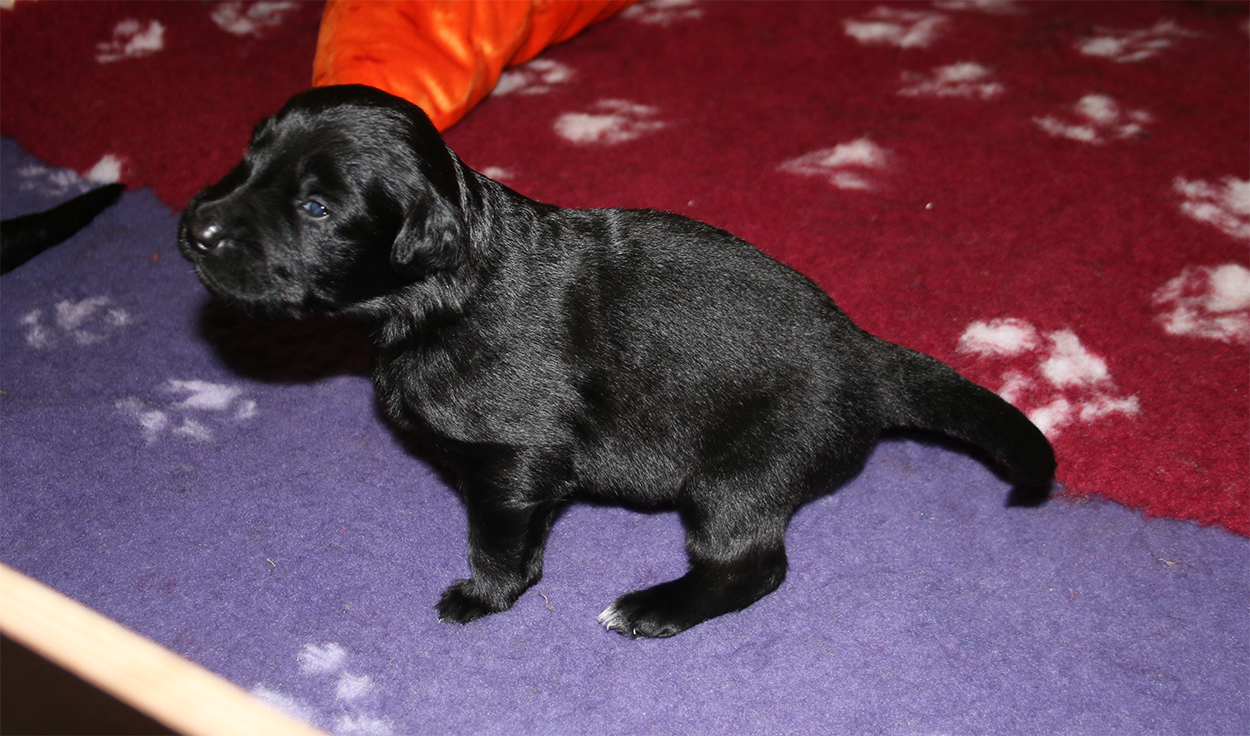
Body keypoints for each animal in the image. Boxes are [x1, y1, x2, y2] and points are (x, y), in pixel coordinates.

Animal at [179, 85, 1055, 638]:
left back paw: (652, 609)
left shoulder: (513, 458)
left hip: (737, 474)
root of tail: (866, 354)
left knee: (755, 565)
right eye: (248, 159)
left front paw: (481, 597)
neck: (439, 291)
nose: (194, 229)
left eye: (316, 207)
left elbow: (498, 540)